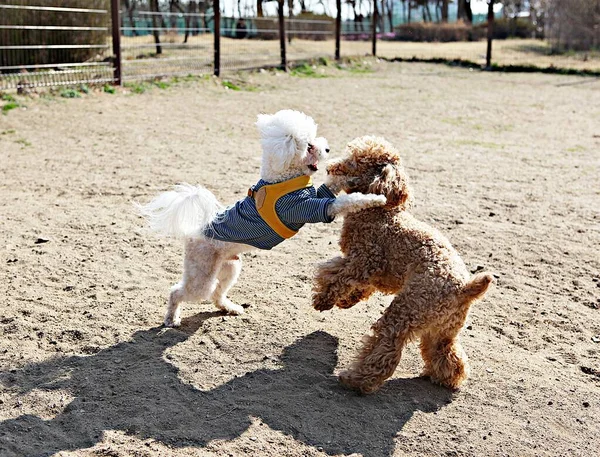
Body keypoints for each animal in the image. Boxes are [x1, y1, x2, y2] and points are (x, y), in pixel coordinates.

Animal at [138, 108, 386, 326]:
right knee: (178, 292)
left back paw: (230, 308)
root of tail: (196, 230)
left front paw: (350, 178)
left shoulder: (314, 198)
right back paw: (172, 319)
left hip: (230, 267)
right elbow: (343, 202)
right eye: (309, 146)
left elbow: (331, 186)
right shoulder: (305, 209)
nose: (327, 148)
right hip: (202, 275)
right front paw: (375, 199)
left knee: (217, 294)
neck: (282, 179)